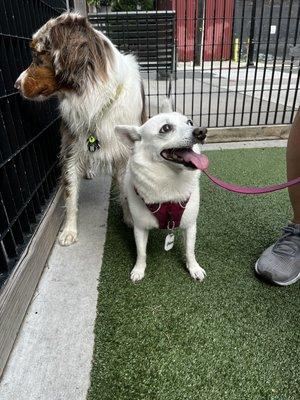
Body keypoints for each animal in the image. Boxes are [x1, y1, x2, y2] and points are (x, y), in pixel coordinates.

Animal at [14, 12, 145, 245]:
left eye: (38, 56)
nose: (16, 85)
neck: (92, 99)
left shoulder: (124, 153)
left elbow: (125, 190)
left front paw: (130, 219)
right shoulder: (71, 147)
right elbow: (70, 193)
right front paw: (69, 230)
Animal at [116, 101, 207, 282]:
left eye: (190, 122)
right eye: (166, 128)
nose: (201, 131)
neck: (169, 181)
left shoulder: (190, 225)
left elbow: (190, 250)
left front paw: (194, 268)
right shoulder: (140, 228)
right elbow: (141, 252)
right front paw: (139, 269)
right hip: (124, 189)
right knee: (124, 202)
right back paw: (128, 218)